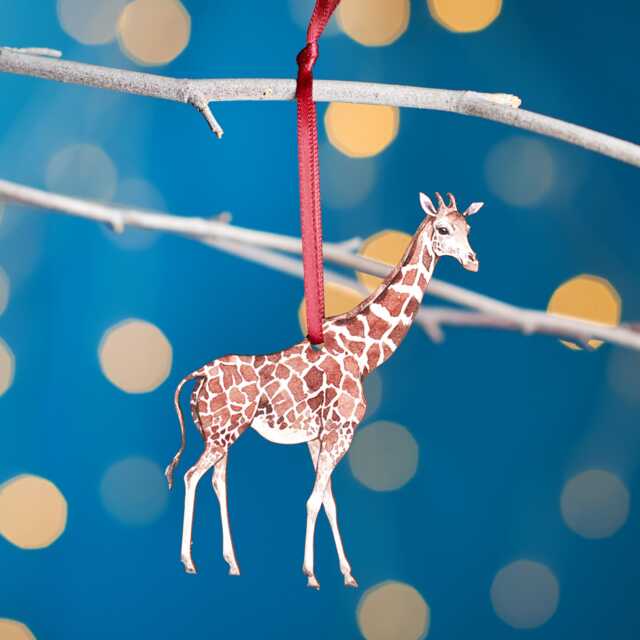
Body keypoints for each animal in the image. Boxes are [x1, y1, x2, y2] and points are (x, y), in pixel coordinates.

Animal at [165, 191, 483, 588]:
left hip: (219, 433)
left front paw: (346, 573)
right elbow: (314, 500)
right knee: (192, 476)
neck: (363, 356)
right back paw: (188, 561)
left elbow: (329, 501)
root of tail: (198, 376)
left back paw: (232, 563)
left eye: (468, 227)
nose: (472, 260)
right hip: (223, 433)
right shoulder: (341, 430)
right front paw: (312, 574)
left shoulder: (318, 436)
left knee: (218, 481)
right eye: (442, 228)